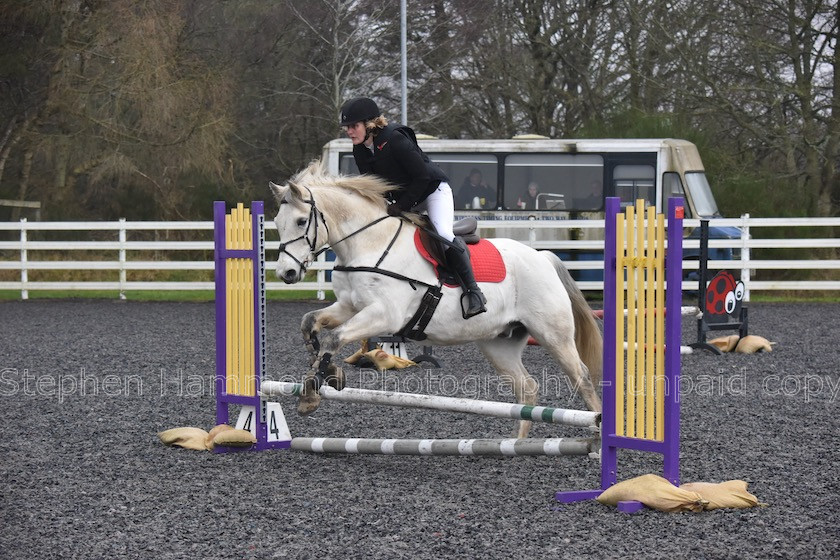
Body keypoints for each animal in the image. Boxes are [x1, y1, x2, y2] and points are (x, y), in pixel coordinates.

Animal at [272, 160, 600, 440]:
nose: (286, 273)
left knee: (582, 378)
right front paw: (321, 375)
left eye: (301, 221)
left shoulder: (385, 314)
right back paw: (515, 446)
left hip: (553, 335)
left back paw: (597, 436)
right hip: (499, 345)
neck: (369, 244)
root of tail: (542, 257)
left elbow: (334, 338)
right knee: (527, 388)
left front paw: (315, 385)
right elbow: (311, 324)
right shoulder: (349, 307)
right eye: (276, 221)